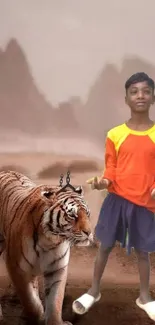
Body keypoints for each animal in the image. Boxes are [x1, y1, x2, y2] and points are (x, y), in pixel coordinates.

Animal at [0, 171, 91, 322]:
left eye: (87, 213)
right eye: (72, 215)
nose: (89, 232)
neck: (50, 240)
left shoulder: (57, 268)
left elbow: (55, 301)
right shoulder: (16, 267)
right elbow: (30, 301)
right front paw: (37, 315)